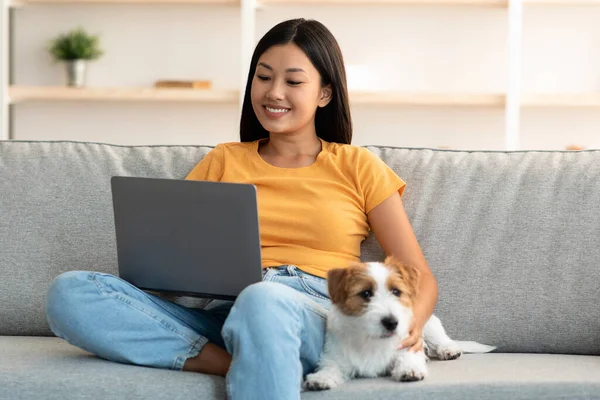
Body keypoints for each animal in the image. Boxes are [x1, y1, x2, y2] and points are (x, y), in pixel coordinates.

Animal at [302, 256, 494, 390]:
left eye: (396, 291)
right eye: (366, 293)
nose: (392, 322)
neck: (372, 340)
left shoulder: (408, 345)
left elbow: (408, 357)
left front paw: (410, 370)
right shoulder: (335, 357)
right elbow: (330, 367)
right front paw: (320, 378)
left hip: (429, 325)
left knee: (442, 339)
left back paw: (448, 350)